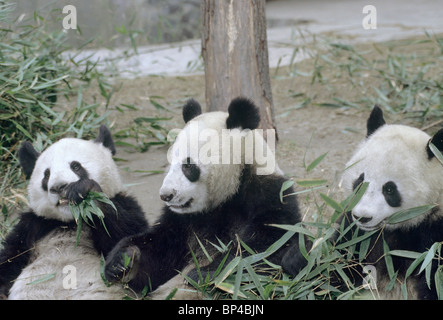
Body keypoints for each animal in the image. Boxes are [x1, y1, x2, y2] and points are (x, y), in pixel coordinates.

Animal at [0, 125, 149, 300]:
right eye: (46, 174)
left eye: (76, 166)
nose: (58, 187)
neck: (71, 222)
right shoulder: (34, 226)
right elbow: (10, 259)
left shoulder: (124, 205)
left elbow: (131, 235)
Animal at [104, 97, 306, 296]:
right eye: (170, 163)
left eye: (188, 166)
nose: (166, 195)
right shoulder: (183, 222)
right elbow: (159, 253)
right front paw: (123, 259)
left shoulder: (269, 195)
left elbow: (267, 249)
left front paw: (206, 273)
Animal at [336, 107, 443, 300]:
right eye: (360, 181)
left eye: (390, 190)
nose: (363, 217)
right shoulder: (352, 233)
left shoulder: (434, 235)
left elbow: (434, 280)